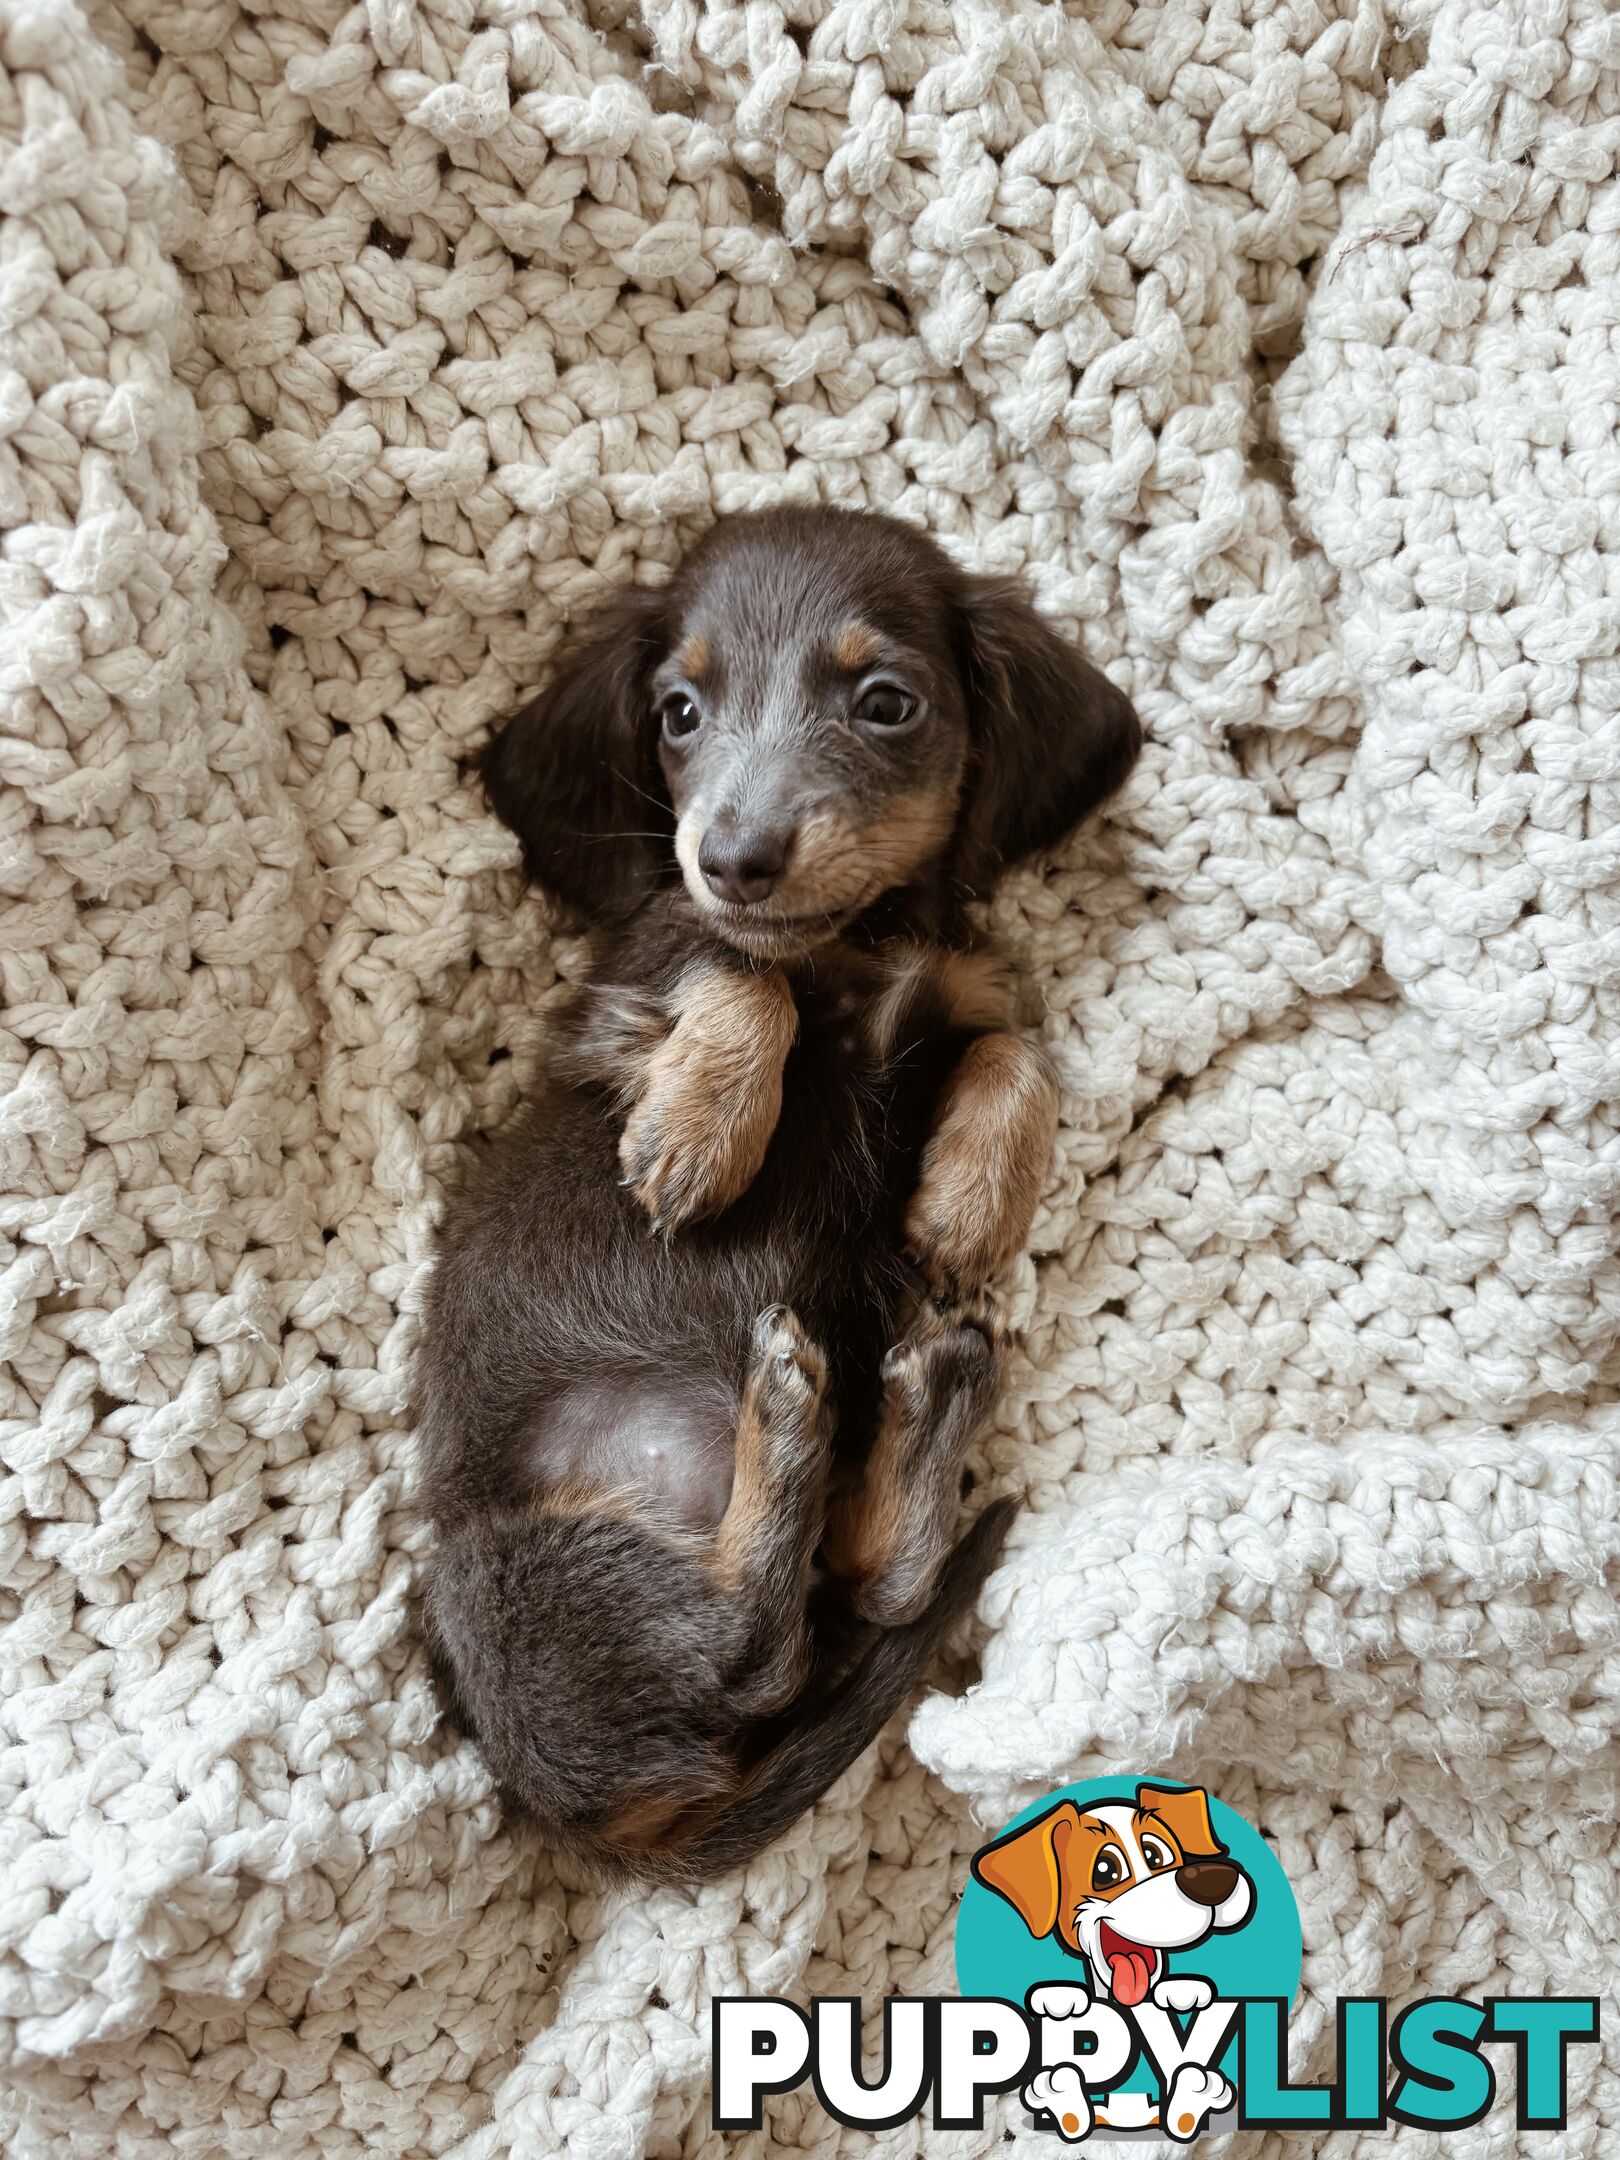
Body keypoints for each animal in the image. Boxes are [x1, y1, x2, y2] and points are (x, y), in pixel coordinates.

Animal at [414, 501, 1140, 1874]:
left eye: (887, 703)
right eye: (678, 710)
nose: (736, 859)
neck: (855, 944)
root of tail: (600, 1821)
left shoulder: (961, 994)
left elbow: (1016, 1049)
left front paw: (968, 1204)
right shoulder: (623, 996)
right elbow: (735, 973)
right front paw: (700, 1132)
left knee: (851, 1593)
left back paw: (924, 1391)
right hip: (518, 1574)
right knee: (764, 1641)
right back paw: (796, 1412)